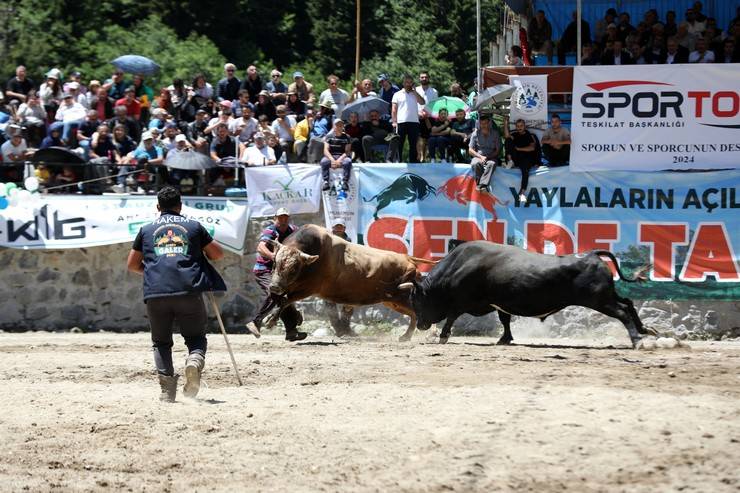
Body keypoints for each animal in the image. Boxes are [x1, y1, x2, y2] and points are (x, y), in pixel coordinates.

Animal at [264, 225, 434, 340]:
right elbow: (282, 300)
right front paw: (293, 318)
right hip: (391, 300)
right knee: (413, 314)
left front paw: (270, 321)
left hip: (401, 297)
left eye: (294, 268)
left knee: (420, 311)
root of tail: (407, 258)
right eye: (274, 263)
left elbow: (285, 300)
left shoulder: (309, 289)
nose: (274, 286)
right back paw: (407, 336)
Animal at [398, 241, 652, 346]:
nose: (422, 325)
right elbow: (505, 320)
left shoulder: (462, 302)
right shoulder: (497, 303)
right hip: (607, 296)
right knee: (628, 303)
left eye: (416, 299)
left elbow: (451, 317)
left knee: (622, 311)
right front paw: (505, 339)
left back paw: (638, 340)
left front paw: (443, 336)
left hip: (600, 300)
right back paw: (646, 330)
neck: (459, 266)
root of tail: (590, 254)